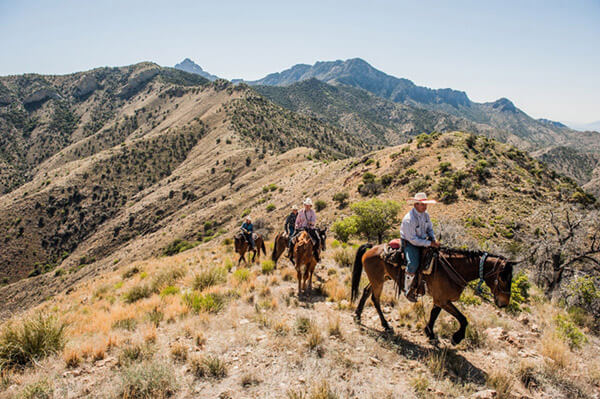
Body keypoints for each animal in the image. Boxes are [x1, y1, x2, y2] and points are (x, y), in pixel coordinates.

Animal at [352, 245, 516, 346]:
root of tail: (373, 248)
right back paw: (385, 325)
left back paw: (358, 315)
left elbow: (434, 314)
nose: (504, 303)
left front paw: (429, 333)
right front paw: (456, 338)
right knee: (375, 299)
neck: (454, 269)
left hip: (380, 279)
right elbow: (463, 319)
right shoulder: (443, 300)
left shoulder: (440, 299)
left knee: (366, 292)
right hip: (378, 281)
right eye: (503, 278)